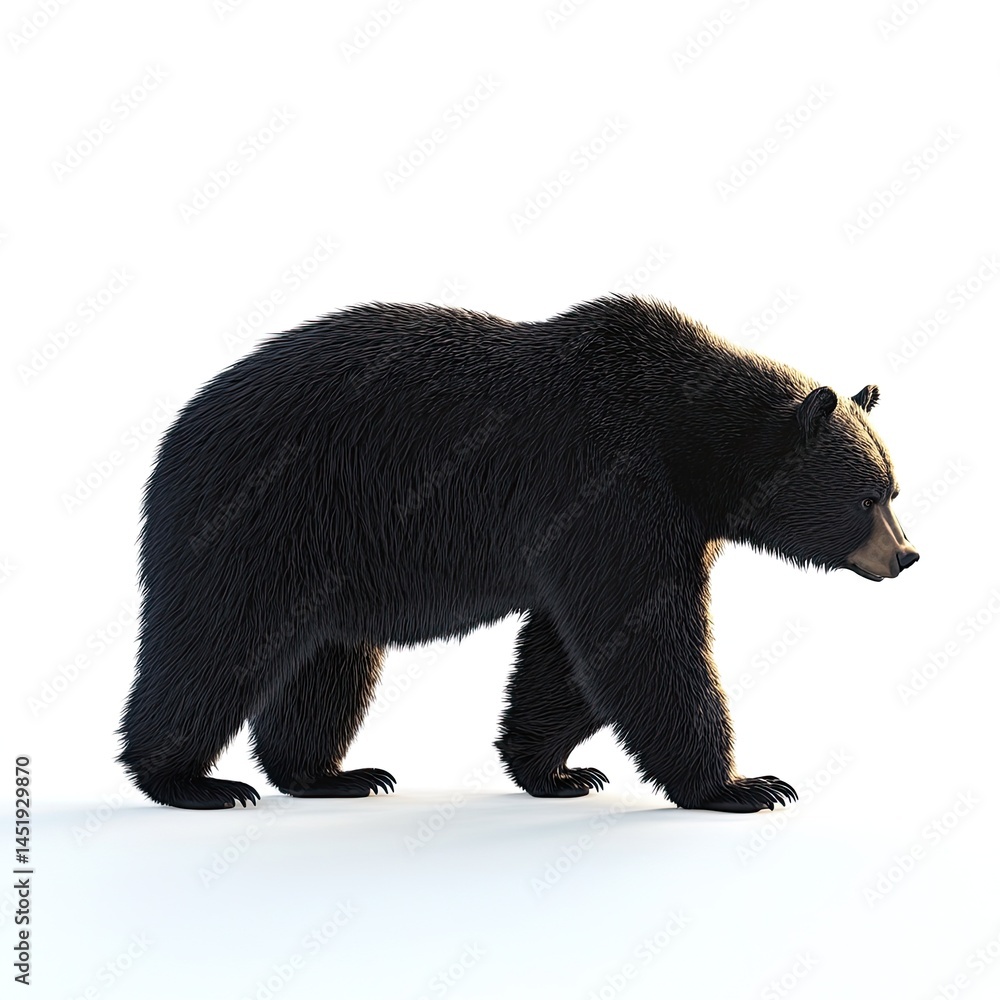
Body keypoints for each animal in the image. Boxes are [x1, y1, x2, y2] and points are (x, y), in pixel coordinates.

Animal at [117, 294, 919, 811]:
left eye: (893, 489)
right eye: (866, 498)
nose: (906, 557)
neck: (686, 438)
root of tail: (179, 429)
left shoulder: (635, 520)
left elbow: (567, 656)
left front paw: (555, 770)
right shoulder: (607, 484)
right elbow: (642, 637)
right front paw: (744, 786)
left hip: (332, 559)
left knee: (327, 661)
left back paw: (329, 773)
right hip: (261, 517)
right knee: (214, 643)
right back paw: (190, 782)